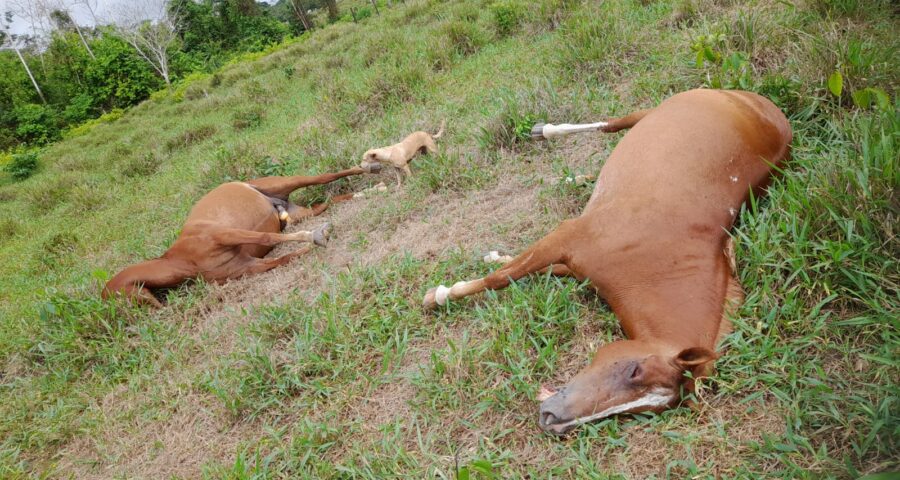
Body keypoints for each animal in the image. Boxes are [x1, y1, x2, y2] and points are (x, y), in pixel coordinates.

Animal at [104, 165, 380, 308]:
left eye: (121, 297)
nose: (160, 310)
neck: (184, 259)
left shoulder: (225, 234)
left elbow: (266, 239)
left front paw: (315, 235)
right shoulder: (251, 266)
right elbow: (284, 258)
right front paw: (315, 240)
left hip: (284, 182)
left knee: (324, 177)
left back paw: (372, 166)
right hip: (301, 212)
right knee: (329, 202)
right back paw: (372, 190)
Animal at [422, 89, 788, 436]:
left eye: (643, 411)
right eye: (634, 370)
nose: (553, 420)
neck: (658, 259)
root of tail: (764, 106)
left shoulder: (574, 264)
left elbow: (526, 273)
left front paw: (492, 258)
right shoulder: (567, 237)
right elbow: (500, 278)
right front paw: (439, 295)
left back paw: (574, 178)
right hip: (659, 107)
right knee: (612, 124)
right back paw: (545, 131)